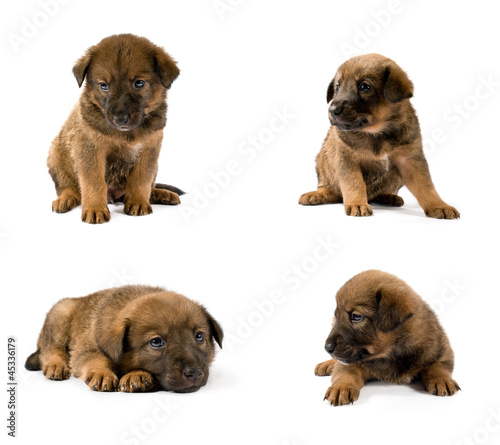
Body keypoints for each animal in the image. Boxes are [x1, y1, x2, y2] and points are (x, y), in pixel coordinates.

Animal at [24, 284, 224, 392]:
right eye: (156, 342)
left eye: (199, 336)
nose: (194, 373)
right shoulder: (85, 349)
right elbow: (96, 358)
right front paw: (102, 373)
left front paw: (136, 374)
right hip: (60, 315)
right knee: (49, 350)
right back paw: (55, 366)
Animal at [47, 33, 185, 224]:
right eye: (104, 85)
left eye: (139, 83)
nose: (120, 119)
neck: (125, 134)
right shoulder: (90, 148)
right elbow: (94, 181)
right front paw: (95, 209)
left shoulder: (149, 149)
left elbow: (141, 179)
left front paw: (138, 202)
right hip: (55, 155)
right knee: (69, 187)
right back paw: (65, 199)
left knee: (149, 186)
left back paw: (161, 194)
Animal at [298, 53, 458, 219]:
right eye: (337, 87)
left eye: (364, 86)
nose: (332, 110)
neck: (376, 133)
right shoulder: (347, 160)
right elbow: (354, 184)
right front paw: (357, 204)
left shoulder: (410, 160)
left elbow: (426, 186)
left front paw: (439, 205)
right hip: (322, 161)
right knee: (330, 189)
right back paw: (318, 194)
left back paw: (388, 196)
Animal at [316, 268, 460, 404]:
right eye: (336, 316)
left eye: (356, 316)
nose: (327, 348)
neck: (391, 353)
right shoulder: (351, 363)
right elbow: (346, 372)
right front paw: (342, 387)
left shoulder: (442, 351)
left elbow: (437, 367)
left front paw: (442, 379)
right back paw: (326, 365)